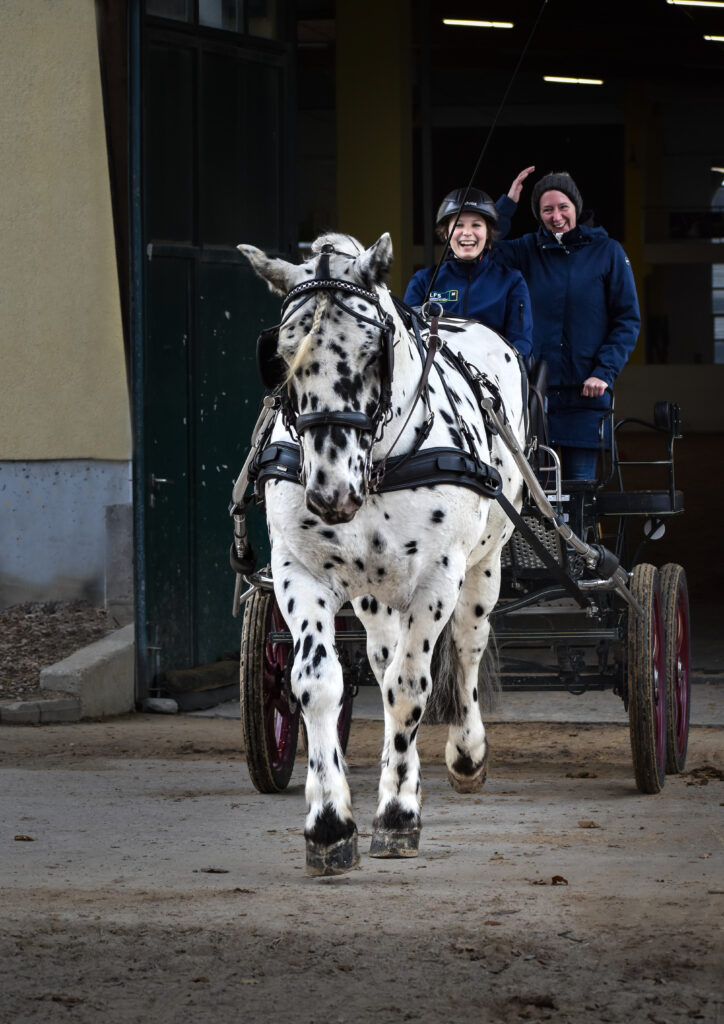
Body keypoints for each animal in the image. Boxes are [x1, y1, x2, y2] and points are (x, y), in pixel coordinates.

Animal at [237, 234, 528, 880]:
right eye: (282, 356)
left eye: (373, 351)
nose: (329, 493)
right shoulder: (299, 571)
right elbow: (318, 681)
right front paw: (329, 823)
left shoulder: (438, 579)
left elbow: (410, 688)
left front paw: (397, 814)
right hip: (374, 591)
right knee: (380, 656)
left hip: (484, 565)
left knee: (465, 649)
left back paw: (466, 751)